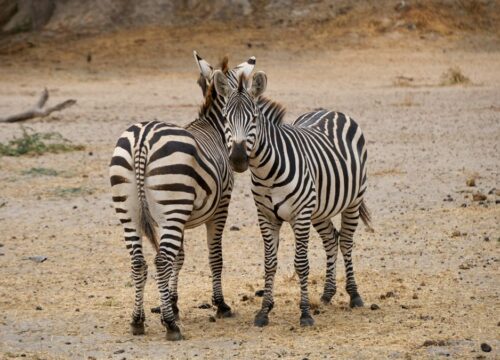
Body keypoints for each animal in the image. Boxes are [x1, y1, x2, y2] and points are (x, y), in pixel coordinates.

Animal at [110, 52, 258, 340]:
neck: (214, 128)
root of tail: (143, 138)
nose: (239, 160)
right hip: (171, 206)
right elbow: (214, 257)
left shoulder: (177, 220)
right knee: (160, 261)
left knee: (139, 262)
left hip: (130, 211)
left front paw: (172, 303)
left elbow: (179, 258)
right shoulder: (219, 208)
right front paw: (220, 305)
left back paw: (137, 320)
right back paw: (171, 326)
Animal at [212, 71, 372, 328]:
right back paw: (327, 293)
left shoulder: (301, 215)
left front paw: (305, 313)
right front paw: (264, 312)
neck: (267, 172)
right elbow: (270, 263)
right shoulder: (266, 216)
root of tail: (331, 111)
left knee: (346, 241)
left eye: (254, 118)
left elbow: (301, 264)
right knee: (331, 239)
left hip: (352, 201)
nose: (237, 159)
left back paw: (354, 295)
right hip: (320, 209)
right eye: (226, 118)